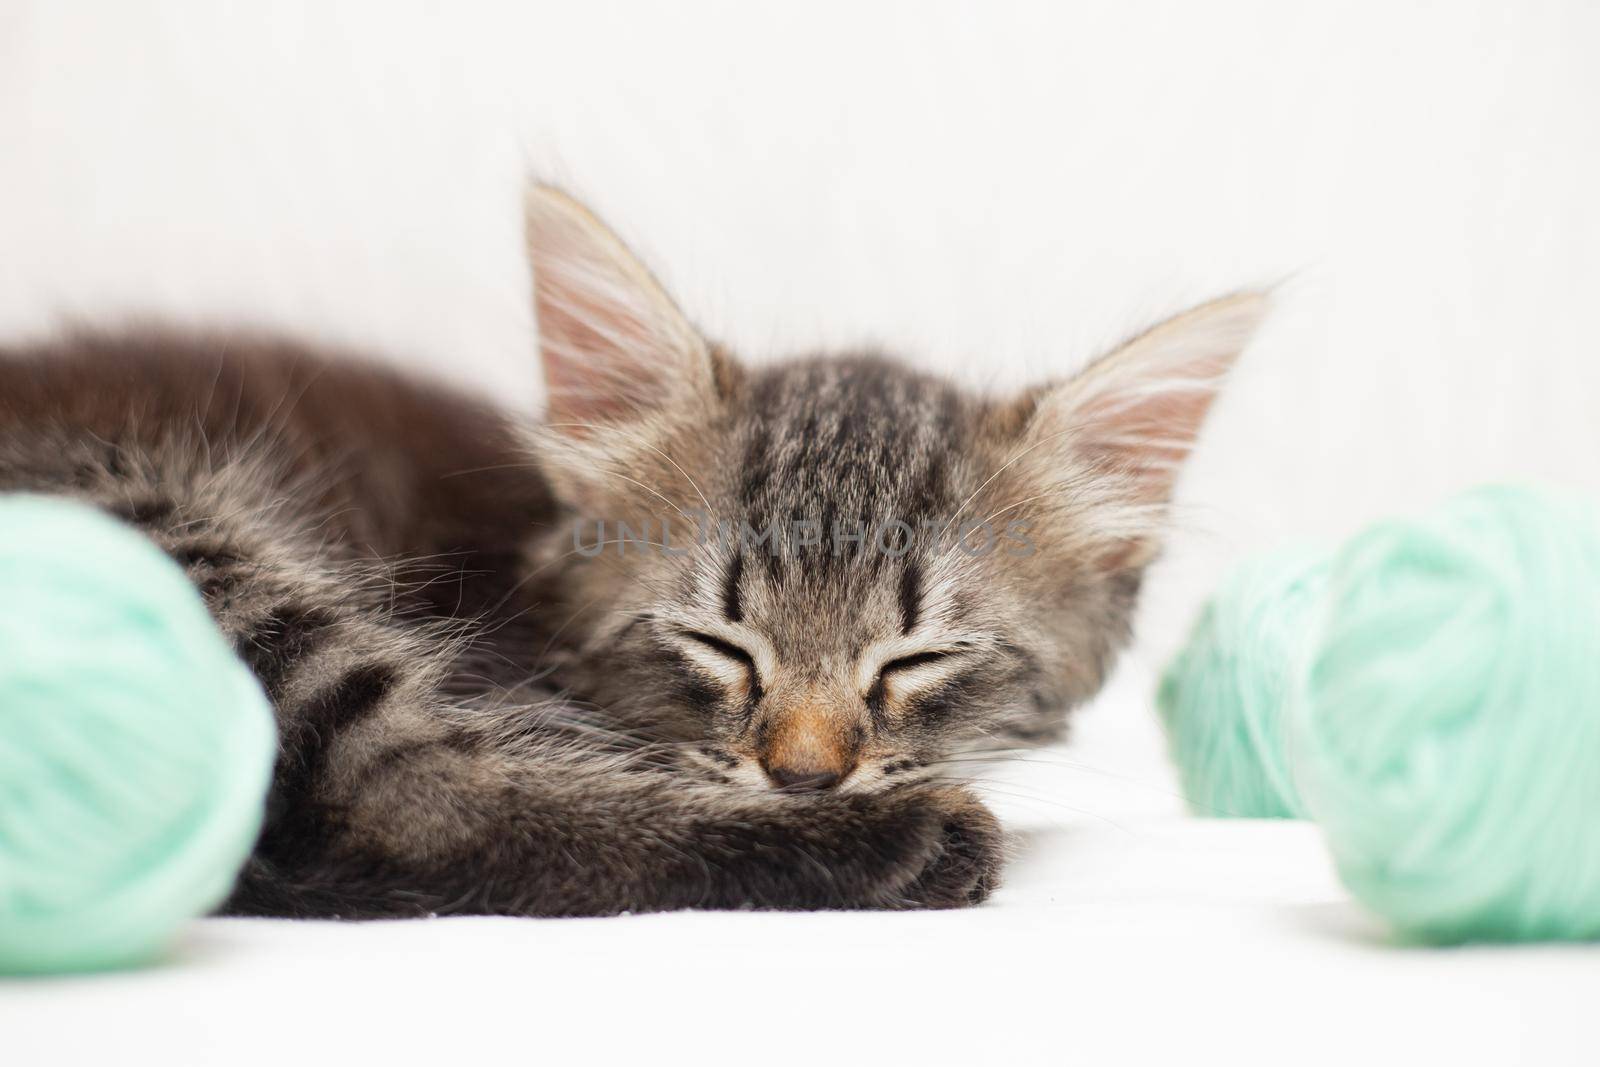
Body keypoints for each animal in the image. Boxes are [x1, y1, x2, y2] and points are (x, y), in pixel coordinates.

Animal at [0, 187, 1267, 915]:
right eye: (720, 642)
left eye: (911, 660)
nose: (805, 775)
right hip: (175, 532)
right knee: (403, 795)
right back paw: (898, 843)